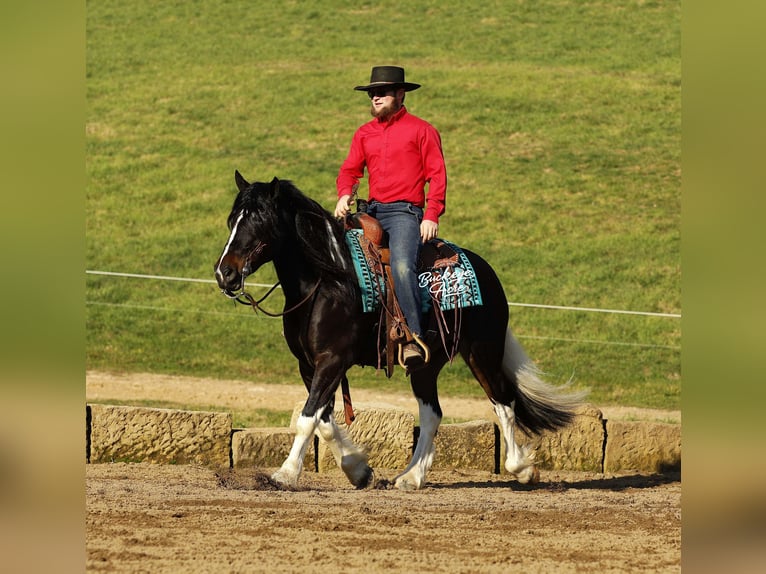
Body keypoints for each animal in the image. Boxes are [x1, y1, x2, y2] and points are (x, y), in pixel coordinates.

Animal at [214, 171, 585, 490]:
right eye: (232, 220)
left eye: (259, 220)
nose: (224, 274)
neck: (328, 280)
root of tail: (485, 270)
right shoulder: (309, 365)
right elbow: (324, 421)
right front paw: (359, 470)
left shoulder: (332, 361)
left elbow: (308, 418)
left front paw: (286, 474)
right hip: (426, 366)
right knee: (433, 413)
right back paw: (411, 476)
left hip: (483, 352)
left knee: (503, 403)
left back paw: (522, 469)